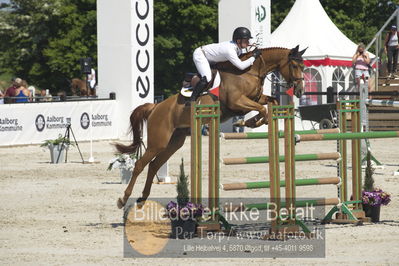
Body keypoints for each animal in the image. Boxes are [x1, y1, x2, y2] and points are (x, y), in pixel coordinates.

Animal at [114, 45, 308, 208]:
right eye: (294, 65)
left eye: (303, 66)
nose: (300, 91)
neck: (249, 72)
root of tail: (155, 107)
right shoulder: (237, 102)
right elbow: (262, 109)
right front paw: (248, 122)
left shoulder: (255, 98)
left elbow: (270, 103)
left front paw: (251, 122)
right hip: (158, 141)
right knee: (140, 164)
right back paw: (123, 199)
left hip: (175, 141)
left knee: (154, 165)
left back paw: (142, 199)